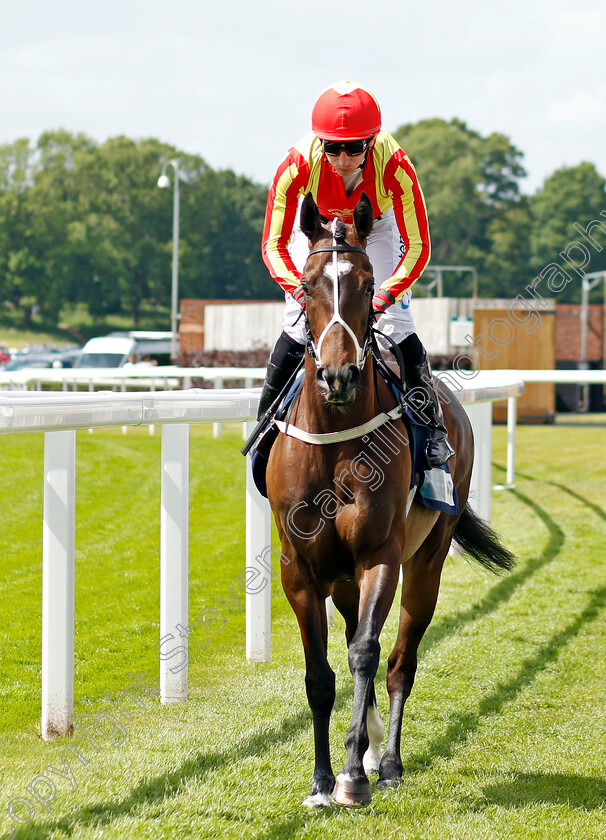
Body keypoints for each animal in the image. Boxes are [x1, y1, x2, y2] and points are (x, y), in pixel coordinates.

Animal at [268, 190, 516, 808]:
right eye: (308, 284)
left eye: (366, 283)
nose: (338, 376)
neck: (335, 438)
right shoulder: (299, 568)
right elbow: (320, 673)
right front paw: (322, 779)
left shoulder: (380, 553)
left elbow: (365, 653)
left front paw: (353, 777)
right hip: (341, 578)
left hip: (426, 559)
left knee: (401, 659)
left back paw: (389, 762)